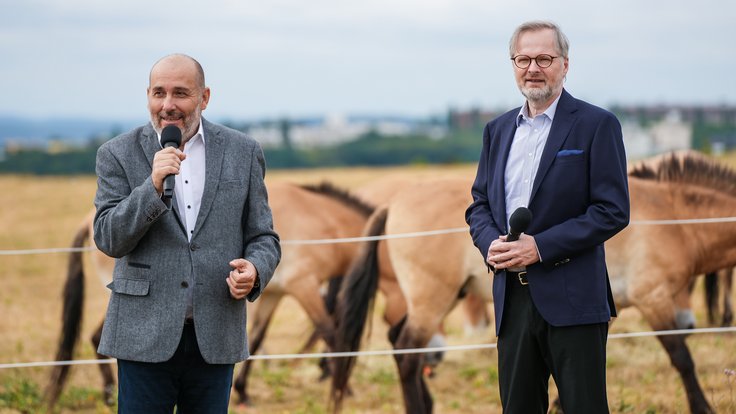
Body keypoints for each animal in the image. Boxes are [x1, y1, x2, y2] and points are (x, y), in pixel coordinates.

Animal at [332, 154, 736, 414]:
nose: (691, 322)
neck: (673, 217)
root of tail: (392, 205)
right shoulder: (655, 300)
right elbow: (682, 359)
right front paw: (702, 407)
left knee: (402, 346)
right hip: (431, 300)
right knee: (406, 353)